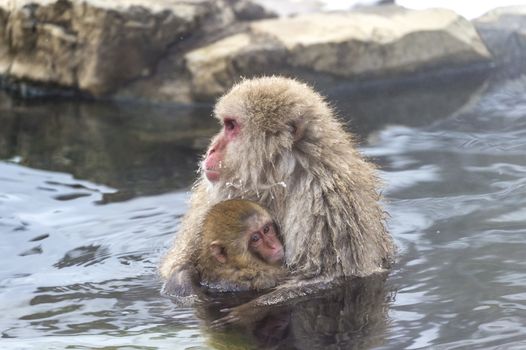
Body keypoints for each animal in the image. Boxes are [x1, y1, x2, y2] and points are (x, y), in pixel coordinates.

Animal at [161, 76, 396, 300]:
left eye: (231, 126)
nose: (211, 149)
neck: (275, 180)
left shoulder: (329, 203)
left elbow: (325, 278)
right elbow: (179, 262)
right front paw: (184, 282)